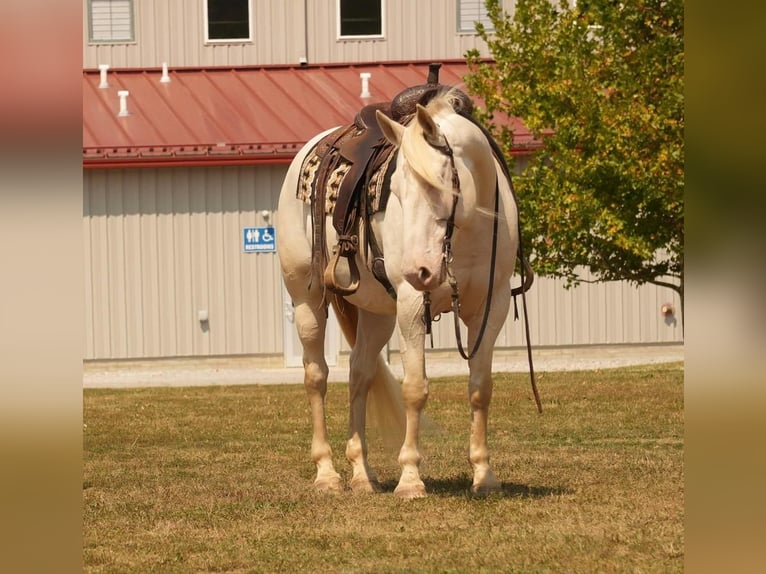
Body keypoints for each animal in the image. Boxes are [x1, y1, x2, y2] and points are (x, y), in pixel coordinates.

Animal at [276, 90, 536, 500]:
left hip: (378, 313)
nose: (419, 270)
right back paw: (327, 474)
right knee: (316, 376)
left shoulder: (490, 307)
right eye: (394, 192)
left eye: (438, 186)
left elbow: (480, 388)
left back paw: (362, 475)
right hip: (307, 300)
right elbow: (414, 388)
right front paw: (411, 479)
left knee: (360, 373)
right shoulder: (413, 303)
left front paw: (484, 475)